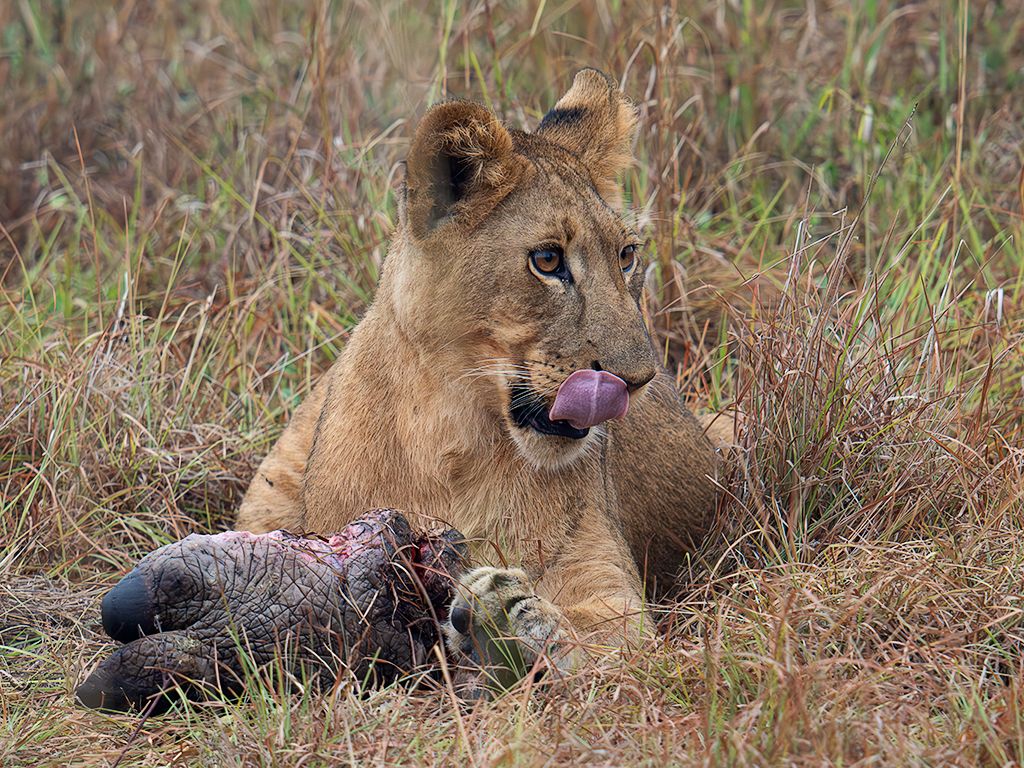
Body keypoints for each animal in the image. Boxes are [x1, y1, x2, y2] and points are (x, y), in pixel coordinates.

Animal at [235, 69, 721, 690]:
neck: (457, 438)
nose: (638, 379)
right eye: (547, 260)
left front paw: (510, 621)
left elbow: (606, 640)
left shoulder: (604, 580)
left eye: (627, 255)